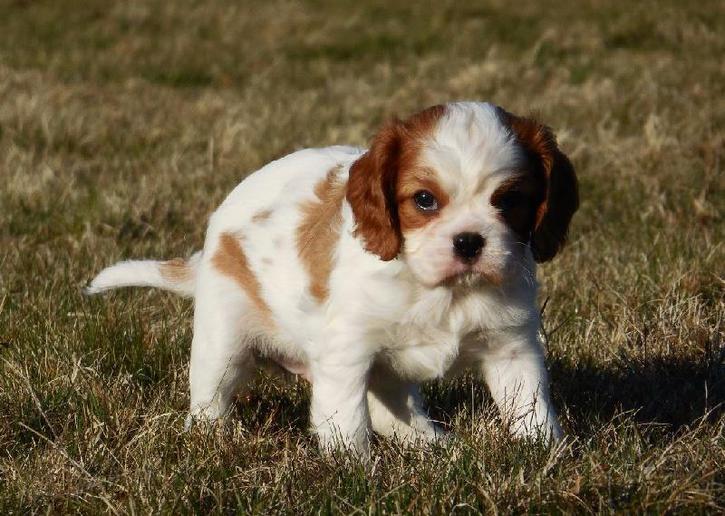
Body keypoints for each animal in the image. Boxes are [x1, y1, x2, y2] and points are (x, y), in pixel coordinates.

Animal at [87, 101, 580, 456]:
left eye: (509, 200)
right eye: (424, 200)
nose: (469, 242)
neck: (440, 291)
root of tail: (209, 245)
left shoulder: (512, 346)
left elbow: (530, 405)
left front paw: (542, 455)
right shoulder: (348, 350)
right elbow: (345, 417)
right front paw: (355, 468)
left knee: (391, 407)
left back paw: (433, 443)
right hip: (222, 342)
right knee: (210, 398)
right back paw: (209, 438)